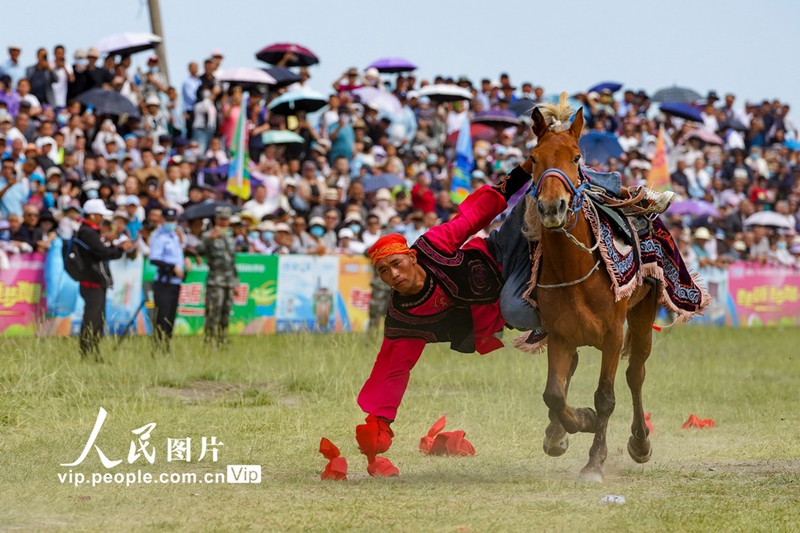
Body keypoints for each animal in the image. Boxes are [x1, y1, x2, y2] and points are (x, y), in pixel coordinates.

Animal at [520, 92, 660, 482]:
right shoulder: (558, 334)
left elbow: (606, 397)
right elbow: (554, 393)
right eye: (533, 158)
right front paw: (574, 424)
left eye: (576, 157)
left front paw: (595, 461)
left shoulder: (613, 334)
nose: (552, 207)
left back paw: (640, 442)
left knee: (636, 374)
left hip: (643, 315)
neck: (577, 267)